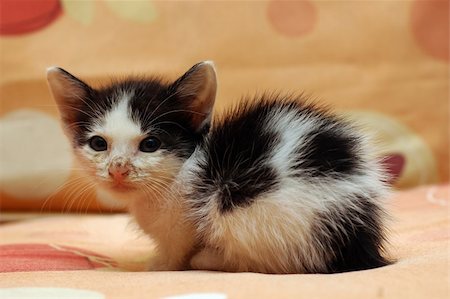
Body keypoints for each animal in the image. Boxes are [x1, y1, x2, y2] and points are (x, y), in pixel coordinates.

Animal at [46, 61, 390, 274]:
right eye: (98, 144)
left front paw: (161, 264)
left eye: (150, 144)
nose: (118, 169)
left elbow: (177, 249)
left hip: (246, 209)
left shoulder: (183, 223)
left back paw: (211, 258)